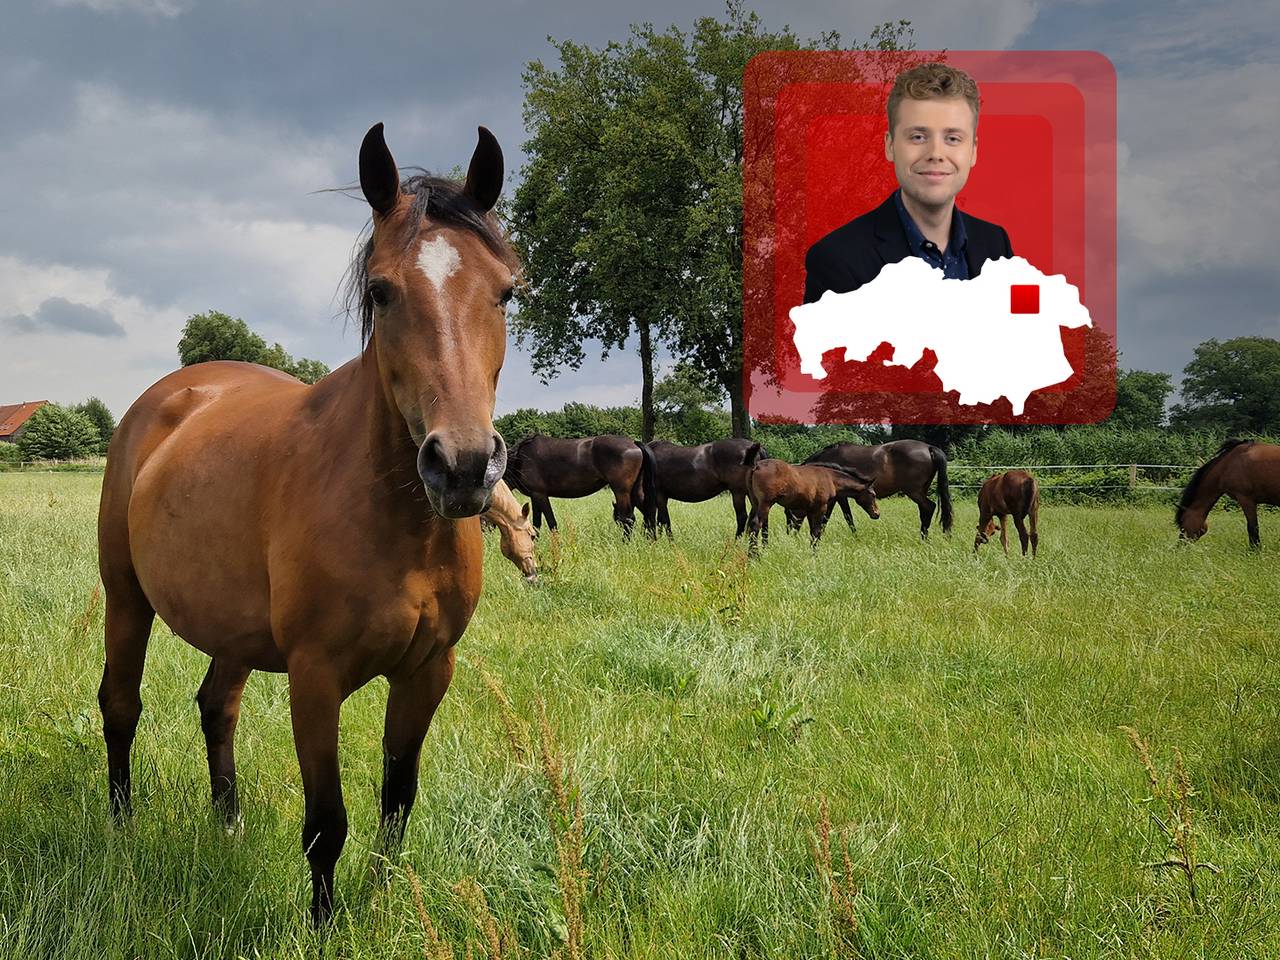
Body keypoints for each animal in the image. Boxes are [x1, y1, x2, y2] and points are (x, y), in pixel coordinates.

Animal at [96, 123, 516, 926]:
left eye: (507, 291)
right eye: (381, 291)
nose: (463, 466)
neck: (400, 525)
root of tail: (172, 394)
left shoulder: (429, 670)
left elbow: (396, 800)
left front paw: (384, 905)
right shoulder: (314, 678)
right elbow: (328, 823)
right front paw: (323, 928)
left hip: (229, 626)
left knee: (216, 706)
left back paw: (226, 826)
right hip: (126, 598)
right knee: (120, 705)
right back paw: (122, 830)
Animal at [503, 434, 658, 539]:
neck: (520, 459)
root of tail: (634, 443)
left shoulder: (540, 495)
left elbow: (551, 522)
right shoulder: (535, 496)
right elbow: (536, 524)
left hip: (622, 491)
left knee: (628, 519)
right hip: (636, 491)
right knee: (648, 513)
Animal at [746, 457, 879, 553]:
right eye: (873, 494)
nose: (877, 514)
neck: (831, 478)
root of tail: (757, 466)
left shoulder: (810, 510)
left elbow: (812, 532)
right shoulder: (821, 508)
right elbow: (817, 532)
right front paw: (815, 554)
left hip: (756, 503)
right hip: (766, 504)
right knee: (756, 525)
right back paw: (755, 556)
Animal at [786, 440, 952, 538]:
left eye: (788, 512)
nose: (789, 534)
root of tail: (929, 447)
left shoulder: (840, 497)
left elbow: (844, 517)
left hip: (914, 492)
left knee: (929, 507)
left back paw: (924, 537)